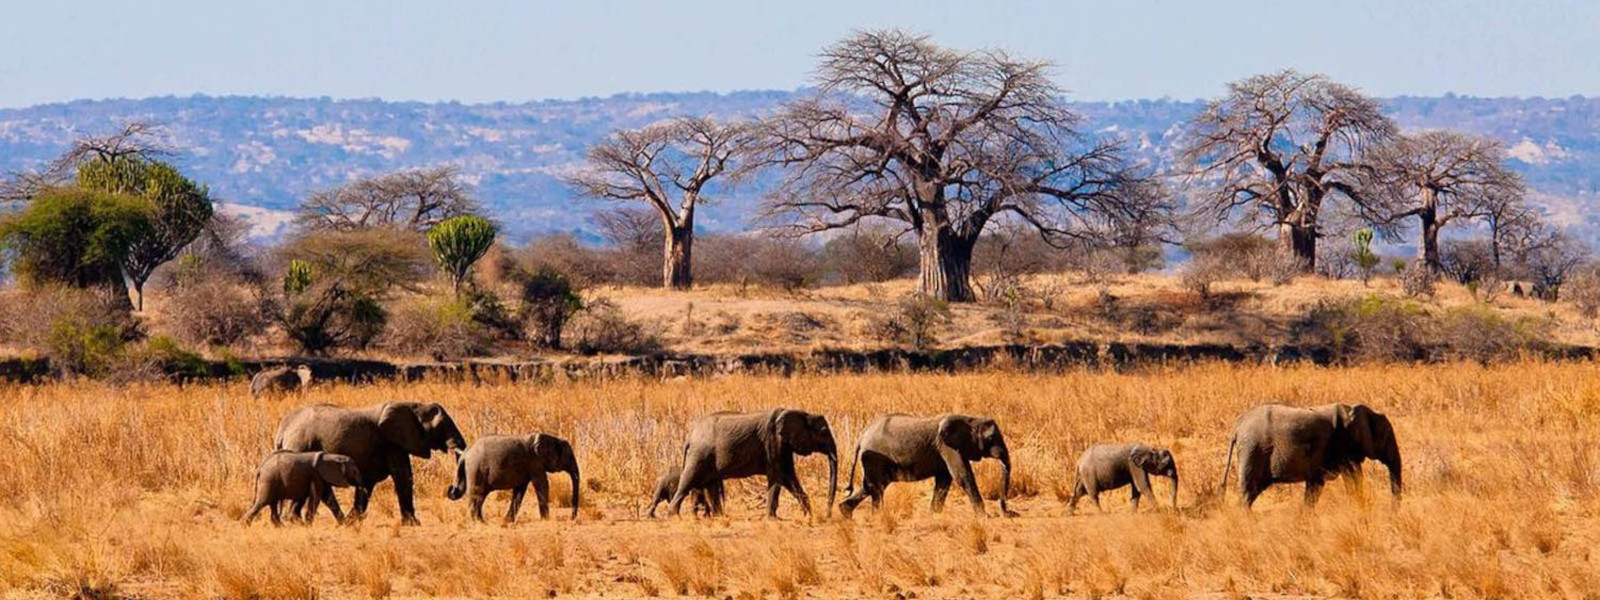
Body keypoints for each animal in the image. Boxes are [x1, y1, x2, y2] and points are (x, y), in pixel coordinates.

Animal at [272, 404, 464, 524]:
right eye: (441, 426)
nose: (450, 490)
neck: (415, 405)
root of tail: (282, 429)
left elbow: (368, 483)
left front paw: (354, 521)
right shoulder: (391, 443)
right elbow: (403, 477)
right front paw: (414, 524)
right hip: (301, 447)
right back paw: (296, 521)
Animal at [444, 435, 582, 524]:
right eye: (569, 457)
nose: (572, 518)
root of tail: (464, 454)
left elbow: (520, 490)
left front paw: (507, 521)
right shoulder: (535, 463)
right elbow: (542, 484)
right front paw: (546, 520)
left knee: (480, 496)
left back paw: (481, 521)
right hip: (476, 469)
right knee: (477, 495)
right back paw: (479, 522)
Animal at [665, 412, 838, 518]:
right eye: (823, 431)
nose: (827, 515)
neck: (803, 413)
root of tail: (689, 436)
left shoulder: (783, 446)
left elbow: (789, 478)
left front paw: (809, 515)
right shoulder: (773, 442)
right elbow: (778, 477)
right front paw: (772, 519)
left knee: (711, 485)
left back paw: (720, 516)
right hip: (699, 454)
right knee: (688, 480)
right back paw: (673, 515)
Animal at [838, 416, 1011, 518]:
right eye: (991, 438)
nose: (1009, 512)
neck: (970, 420)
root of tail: (861, 436)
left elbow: (944, 480)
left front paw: (934, 514)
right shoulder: (949, 448)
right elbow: (963, 476)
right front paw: (983, 517)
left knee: (872, 486)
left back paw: (846, 513)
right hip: (874, 459)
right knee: (876, 487)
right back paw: (877, 516)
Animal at [1222, 404, 1401, 508]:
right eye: (1386, 437)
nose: (1393, 511)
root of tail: (1236, 427)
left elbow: (1315, 484)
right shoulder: (1342, 444)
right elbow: (1353, 476)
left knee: (1253, 491)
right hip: (1252, 449)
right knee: (1248, 491)